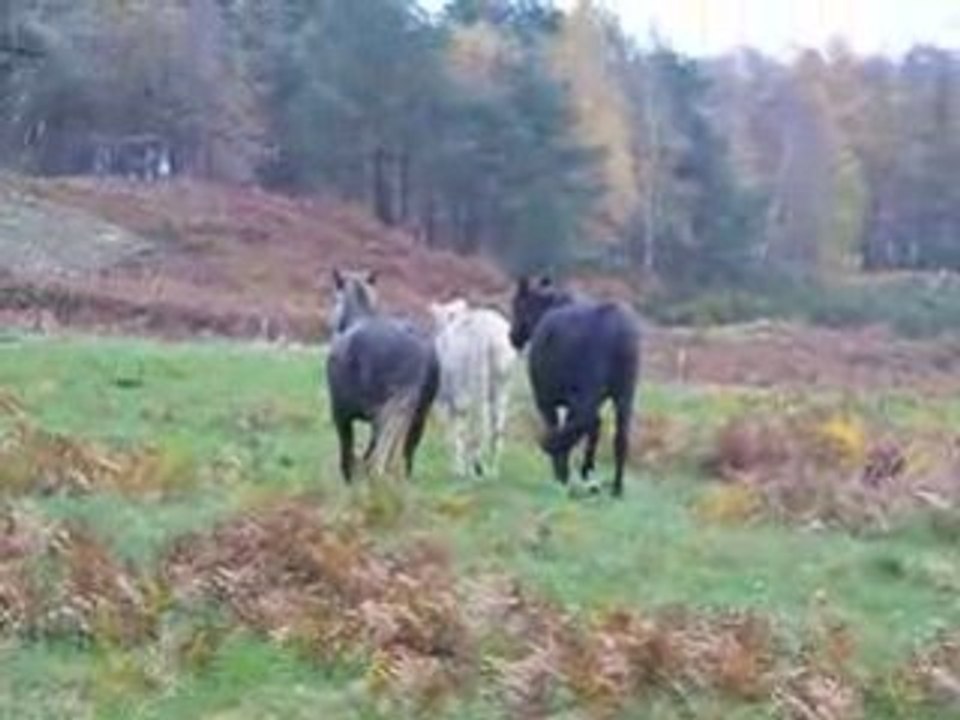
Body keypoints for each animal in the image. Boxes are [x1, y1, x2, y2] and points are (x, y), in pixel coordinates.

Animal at [430, 298, 516, 478]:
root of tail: (489, 337)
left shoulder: (448, 399)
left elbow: (454, 433)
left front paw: (458, 468)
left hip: (473, 377)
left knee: (477, 421)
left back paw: (475, 466)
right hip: (502, 377)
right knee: (496, 425)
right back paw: (492, 471)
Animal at [508, 276, 640, 497]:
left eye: (517, 304)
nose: (512, 336)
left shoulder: (547, 400)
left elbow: (559, 426)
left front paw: (561, 472)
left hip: (586, 393)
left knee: (584, 423)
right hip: (624, 395)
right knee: (619, 437)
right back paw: (615, 486)